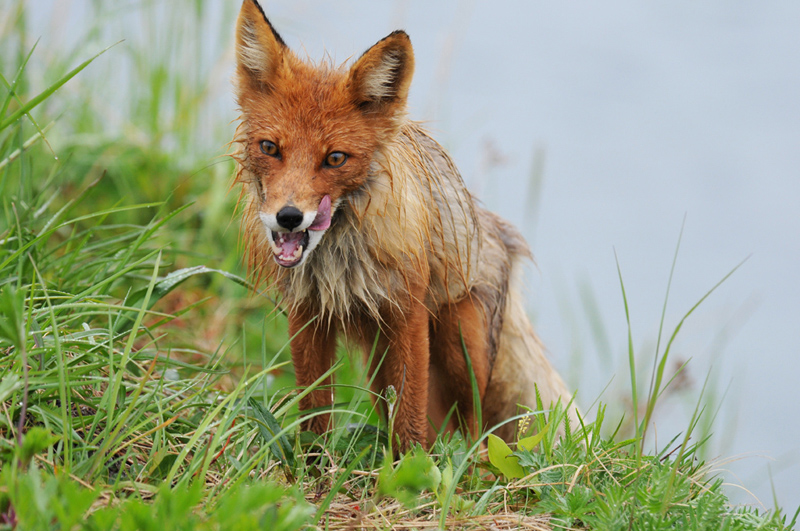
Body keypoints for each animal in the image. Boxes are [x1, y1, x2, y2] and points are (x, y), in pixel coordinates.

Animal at [231, 0, 576, 450]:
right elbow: (315, 415)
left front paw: (410, 469)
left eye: (335, 158)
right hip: (380, 370)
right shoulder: (307, 316)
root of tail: (493, 227)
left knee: (475, 432)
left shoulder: (407, 315)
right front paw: (312, 463)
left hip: (456, 348)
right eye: (270, 148)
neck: (340, 262)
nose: (288, 216)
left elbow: (410, 425)